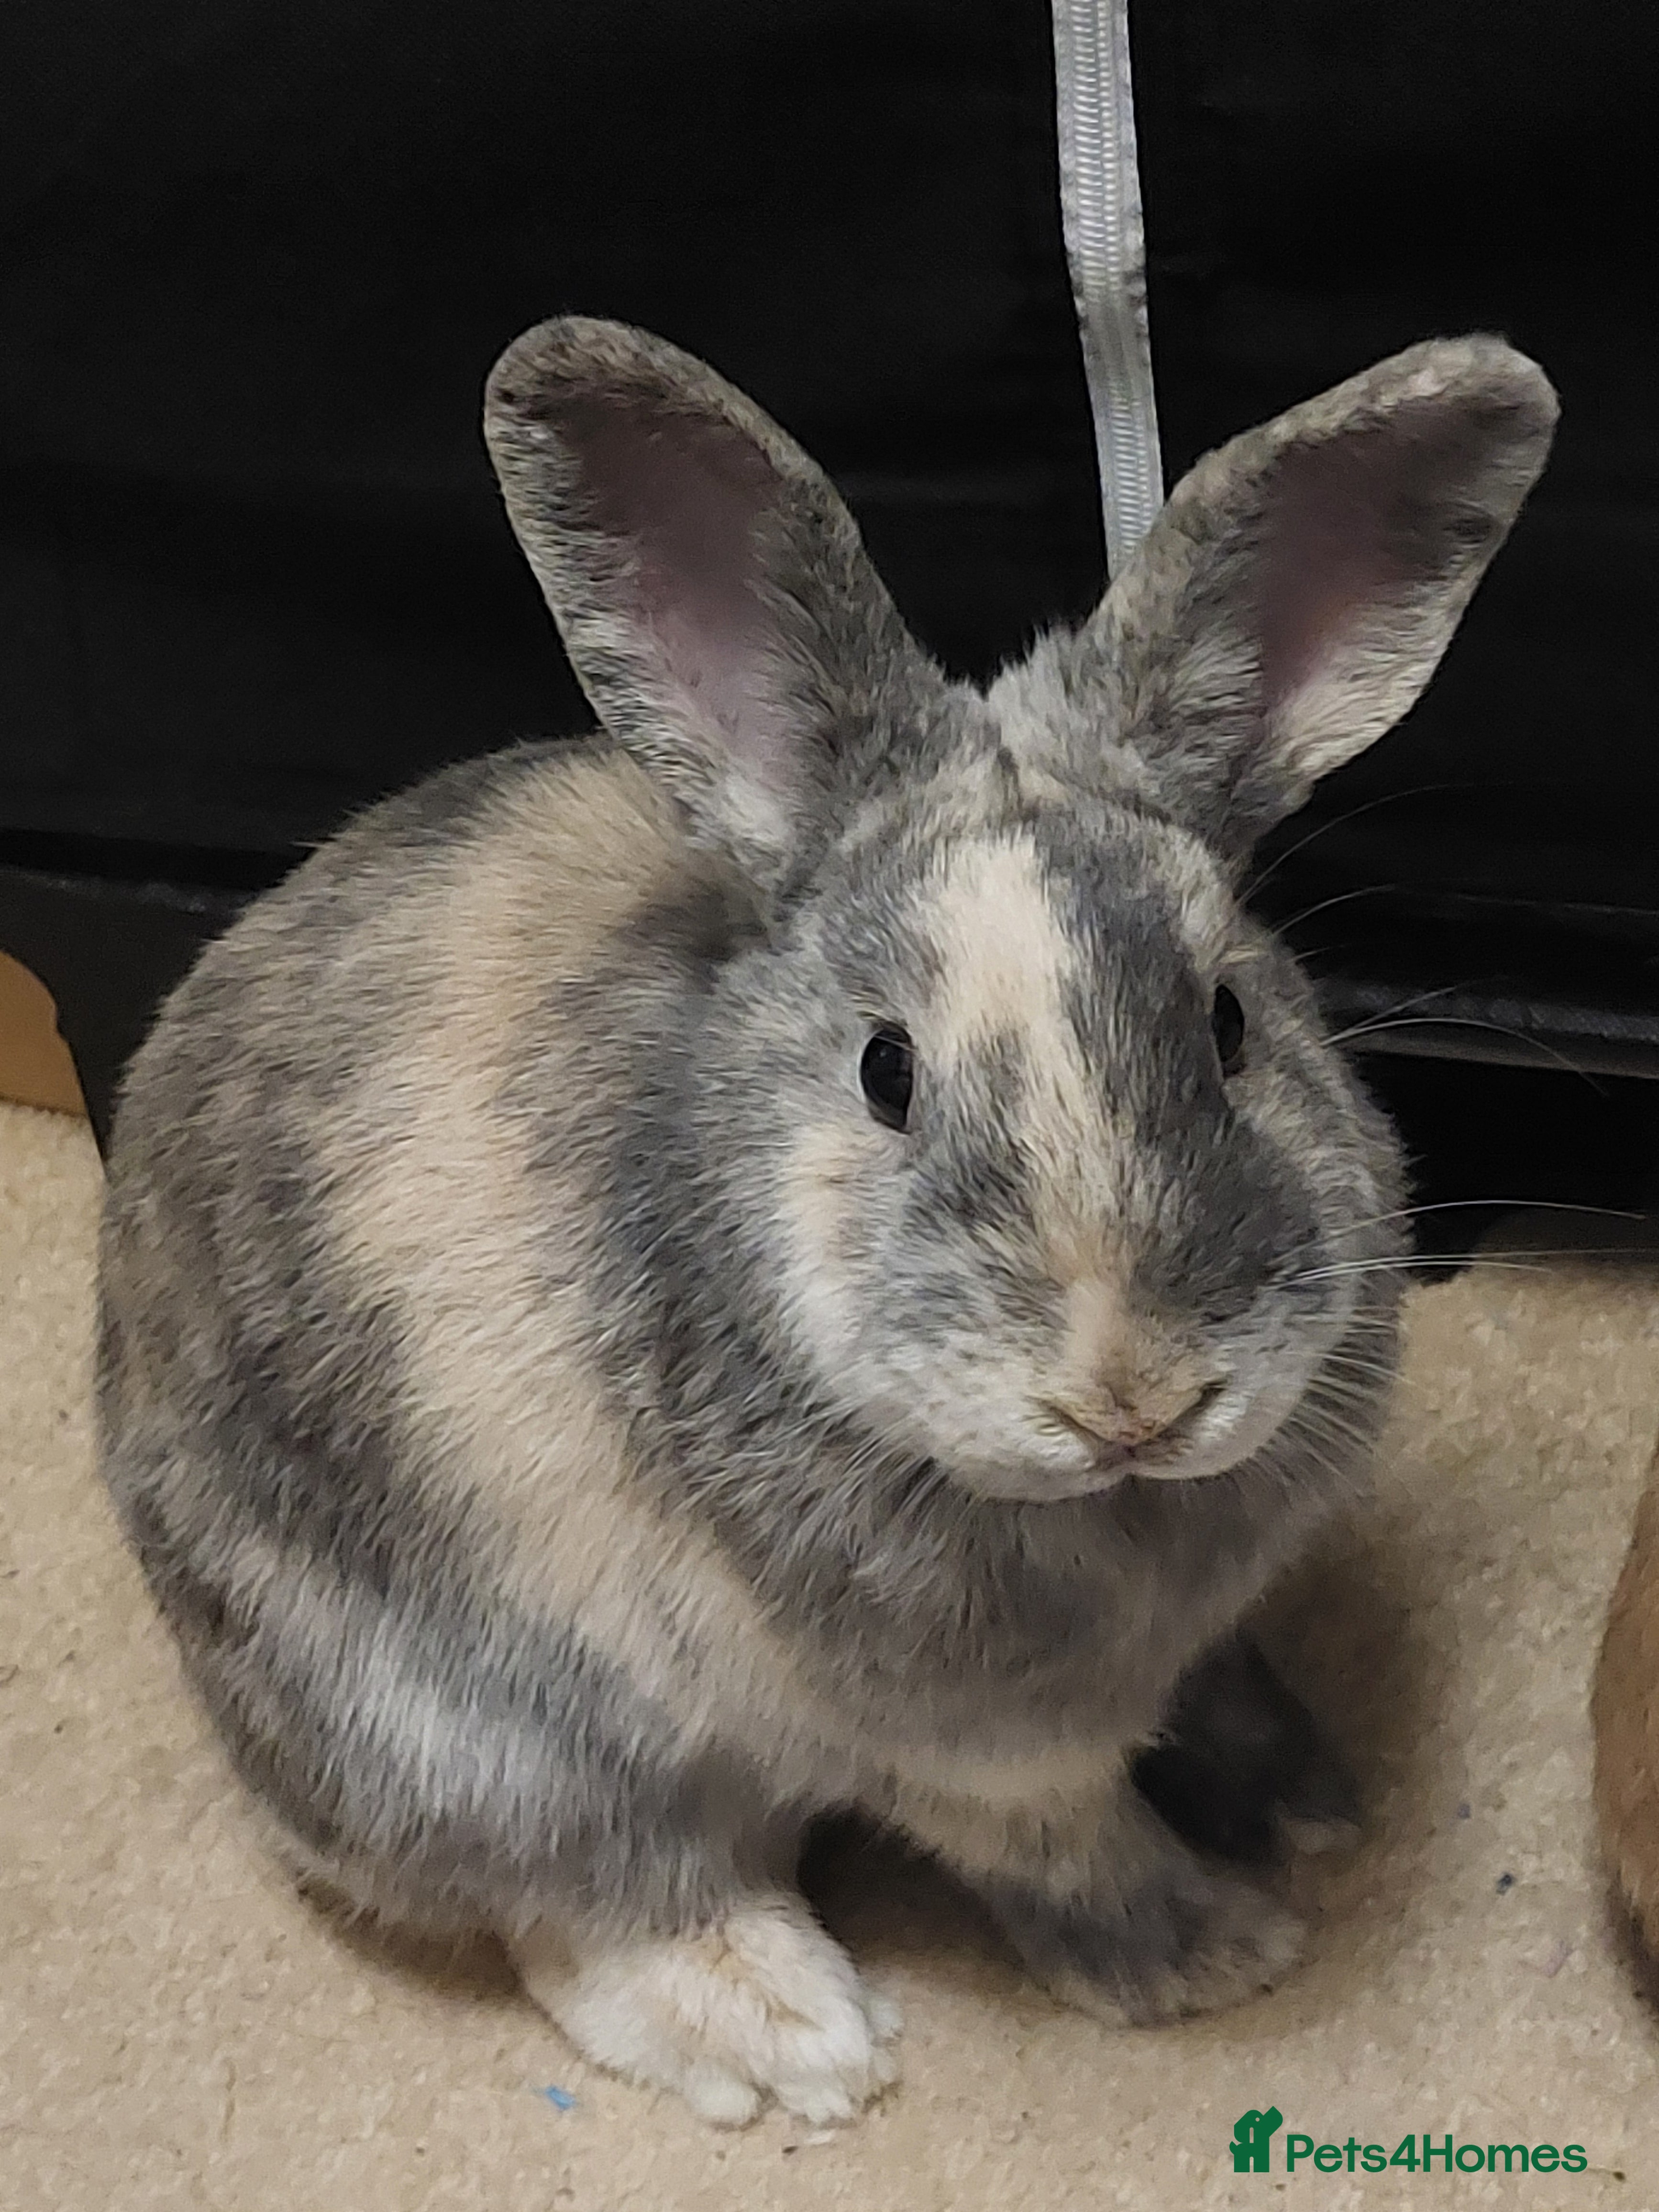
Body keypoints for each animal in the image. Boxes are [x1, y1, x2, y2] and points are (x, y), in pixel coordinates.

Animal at [96, 316, 1557, 2125]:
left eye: (1229, 1020)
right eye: (884, 1071)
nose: (1132, 1392)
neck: (1116, 1514)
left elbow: (1216, 1691)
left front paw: (1311, 1799)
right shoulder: (969, 1748)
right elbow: (1065, 1846)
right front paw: (1212, 1952)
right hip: (491, 1737)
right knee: (583, 1904)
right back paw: (788, 2031)